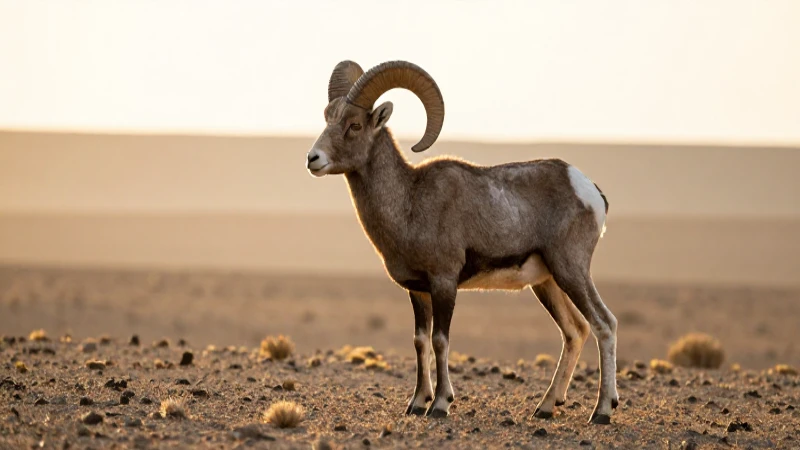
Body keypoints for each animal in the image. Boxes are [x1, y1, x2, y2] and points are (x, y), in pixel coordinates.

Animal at [306, 60, 618, 424]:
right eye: (328, 117)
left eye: (354, 125)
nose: (313, 159)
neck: (410, 202)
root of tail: (590, 191)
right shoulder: (418, 291)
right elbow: (420, 341)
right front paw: (417, 403)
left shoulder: (444, 283)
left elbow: (440, 341)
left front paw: (440, 405)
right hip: (547, 283)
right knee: (574, 331)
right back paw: (544, 408)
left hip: (571, 272)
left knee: (603, 324)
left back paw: (601, 411)